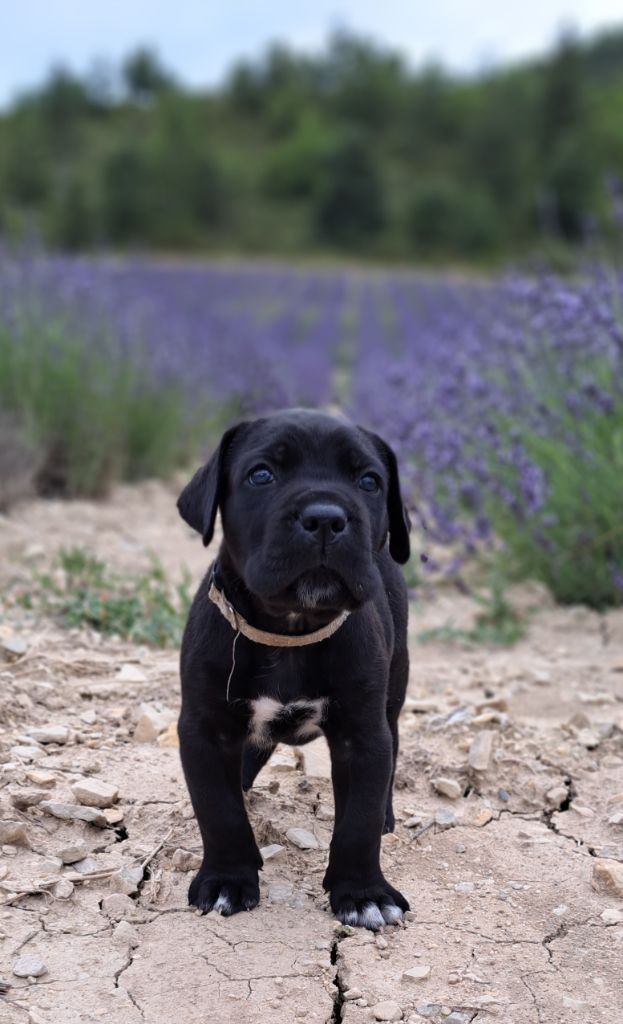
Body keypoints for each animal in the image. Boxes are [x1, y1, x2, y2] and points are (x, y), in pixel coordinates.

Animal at [177, 408, 411, 930]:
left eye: (369, 481)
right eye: (262, 475)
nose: (325, 518)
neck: (290, 629)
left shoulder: (362, 735)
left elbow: (359, 819)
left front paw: (363, 892)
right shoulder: (204, 729)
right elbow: (218, 810)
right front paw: (228, 879)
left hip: (394, 690)